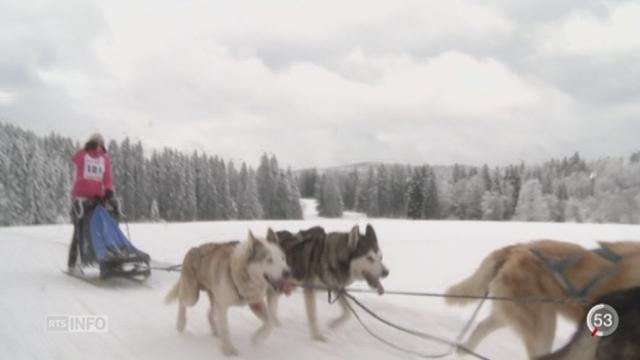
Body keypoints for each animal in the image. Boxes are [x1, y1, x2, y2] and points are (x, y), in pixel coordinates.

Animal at [166, 229, 294, 356]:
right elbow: (225, 329)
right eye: (269, 260)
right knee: (182, 301)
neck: (238, 274)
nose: (288, 272)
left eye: (283, 258)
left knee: (210, 313)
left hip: (213, 298)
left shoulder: (255, 303)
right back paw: (180, 323)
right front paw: (228, 350)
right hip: (192, 296)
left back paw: (215, 332)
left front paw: (257, 338)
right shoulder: (222, 306)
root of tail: (193, 249)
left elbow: (270, 323)